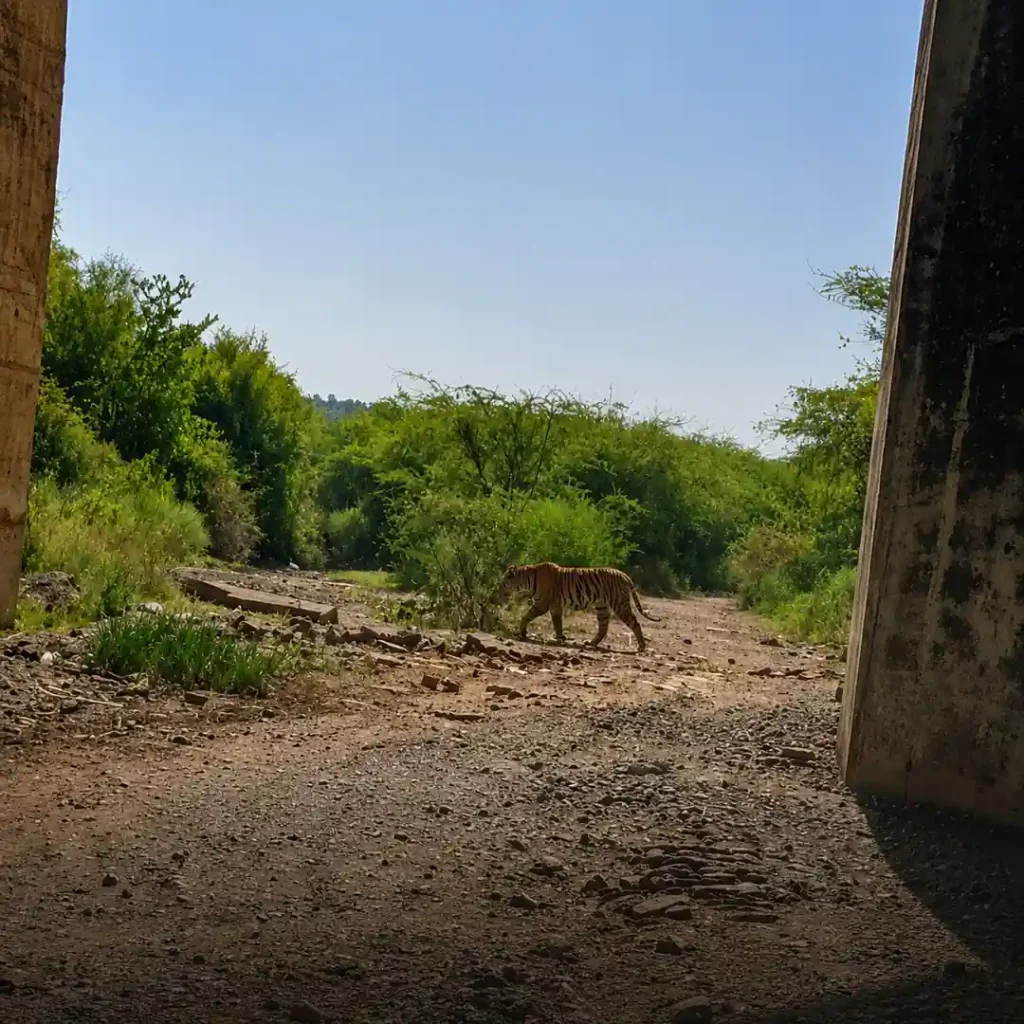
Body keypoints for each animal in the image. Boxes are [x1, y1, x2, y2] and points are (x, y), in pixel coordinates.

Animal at [497, 561, 660, 652]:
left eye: (504, 583)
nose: (498, 589)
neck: (526, 579)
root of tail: (624, 575)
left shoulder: (542, 604)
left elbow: (526, 616)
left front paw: (523, 633)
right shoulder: (555, 607)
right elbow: (557, 623)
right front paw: (560, 637)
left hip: (619, 604)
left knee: (635, 623)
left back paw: (641, 646)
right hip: (602, 606)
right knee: (603, 628)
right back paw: (590, 643)